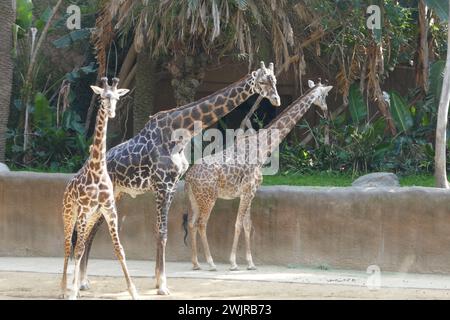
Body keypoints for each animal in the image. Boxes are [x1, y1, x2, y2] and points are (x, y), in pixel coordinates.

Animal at [59, 77, 134, 300]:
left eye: (117, 97)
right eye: (104, 96)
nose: (112, 112)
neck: (98, 168)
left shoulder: (109, 210)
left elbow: (119, 249)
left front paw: (133, 291)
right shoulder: (84, 211)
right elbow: (77, 250)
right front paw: (72, 292)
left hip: (92, 217)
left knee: (80, 246)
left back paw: (74, 285)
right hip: (70, 214)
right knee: (68, 247)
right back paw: (63, 289)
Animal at [76, 60, 282, 296]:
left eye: (275, 80)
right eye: (263, 81)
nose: (276, 99)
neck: (180, 133)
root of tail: (88, 167)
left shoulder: (172, 186)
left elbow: (161, 231)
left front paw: (158, 282)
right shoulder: (162, 185)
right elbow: (163, 232)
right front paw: (163, 285)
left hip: (114, 196)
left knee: (91, 230)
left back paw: (84, 281)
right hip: (103, 198)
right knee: (88, 229)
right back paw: (81, 282)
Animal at [181, 79, 332, 270]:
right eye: (324, 95)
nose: (326, 110)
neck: (263, 148)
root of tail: (188, 178)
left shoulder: (249, 193)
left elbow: (247, 224)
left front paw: (250, 263)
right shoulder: (248, 190)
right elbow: (239, 224)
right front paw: (233, 263)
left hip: (194, 198)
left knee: (191, 223)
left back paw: (196, 263)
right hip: (208, 197)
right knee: (201, 223)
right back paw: (211, 262)